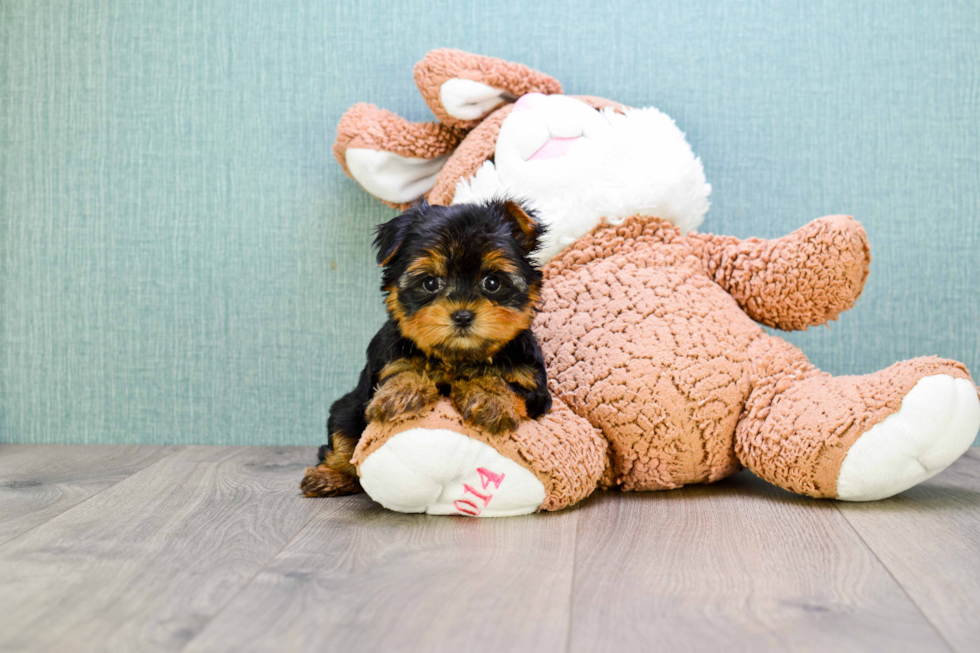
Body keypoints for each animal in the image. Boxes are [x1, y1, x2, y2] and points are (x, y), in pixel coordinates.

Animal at [300, 197, 552, 494]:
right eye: (430, 282)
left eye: (492, 282)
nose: (463, 315)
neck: (457, 357)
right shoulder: (388, 362)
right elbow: (403, 371)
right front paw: (400, 395)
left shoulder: (532, 383)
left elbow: (506, 385)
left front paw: (490, 399)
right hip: (346, 409)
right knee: (343, 439)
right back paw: (330, 476)